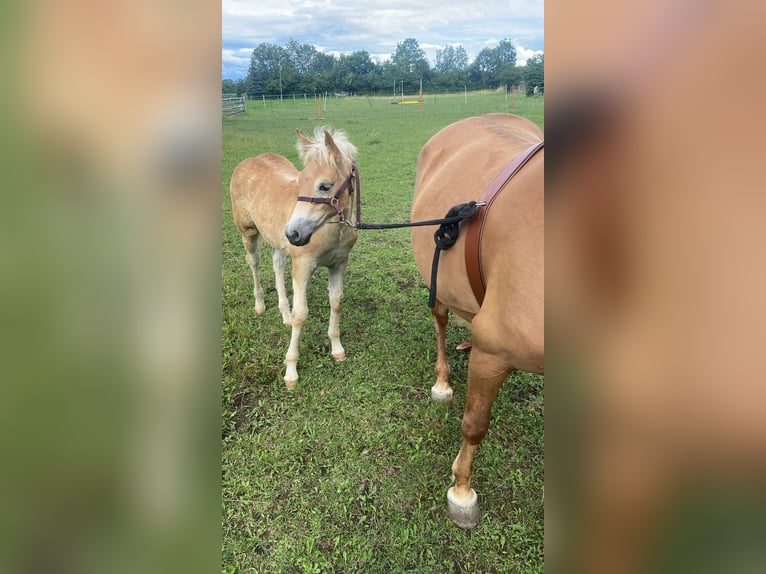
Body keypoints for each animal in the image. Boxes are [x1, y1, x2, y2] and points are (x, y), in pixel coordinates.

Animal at [231, 129, 360, 392]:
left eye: (324, 186)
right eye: (300, 182)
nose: (293, 233)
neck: (333, 229)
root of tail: (247, 161)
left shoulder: (339, 264)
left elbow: (336, 302)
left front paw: (337, 349)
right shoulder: (302, 266)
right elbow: (302, 313)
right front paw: (291, 370)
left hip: (278, 242)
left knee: (277, 266)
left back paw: (285, 315)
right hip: (248, 233)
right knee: (254, 262)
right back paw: (260, 304)